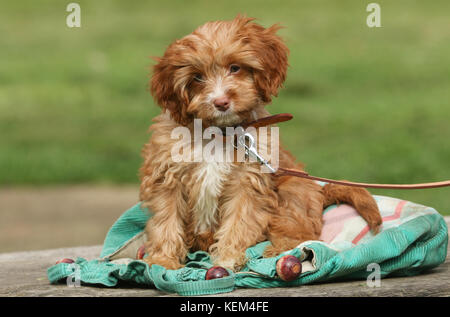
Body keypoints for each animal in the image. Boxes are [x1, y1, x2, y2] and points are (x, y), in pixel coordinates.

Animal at [139, 15, 382, 270]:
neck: (220, 133)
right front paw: (162, 260)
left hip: (292, 192)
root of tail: (319, 189)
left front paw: (227, 258)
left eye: (235, 68)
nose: (221, 102)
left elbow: (239, 221)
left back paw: (281, 251)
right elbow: (166, 220)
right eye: (197, 77)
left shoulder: (248, 182)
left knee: (300, 232)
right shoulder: (167, 176)